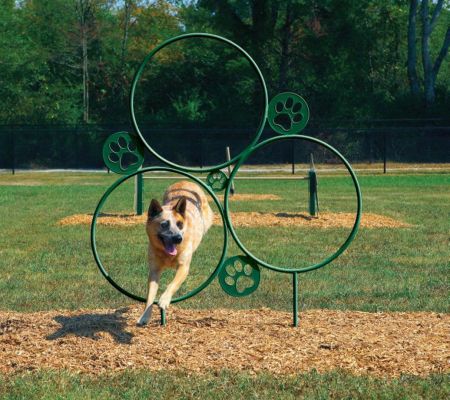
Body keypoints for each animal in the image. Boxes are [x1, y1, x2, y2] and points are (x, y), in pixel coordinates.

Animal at [137, 181, 213, 324]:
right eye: (164, 224)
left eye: (180, 224)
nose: (178, 238)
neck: (167, 255)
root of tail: (185, 181)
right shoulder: (154, 271)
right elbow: (150, 297)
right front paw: (145, 316)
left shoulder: (183, 267)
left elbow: (172, 284)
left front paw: (164, 300)